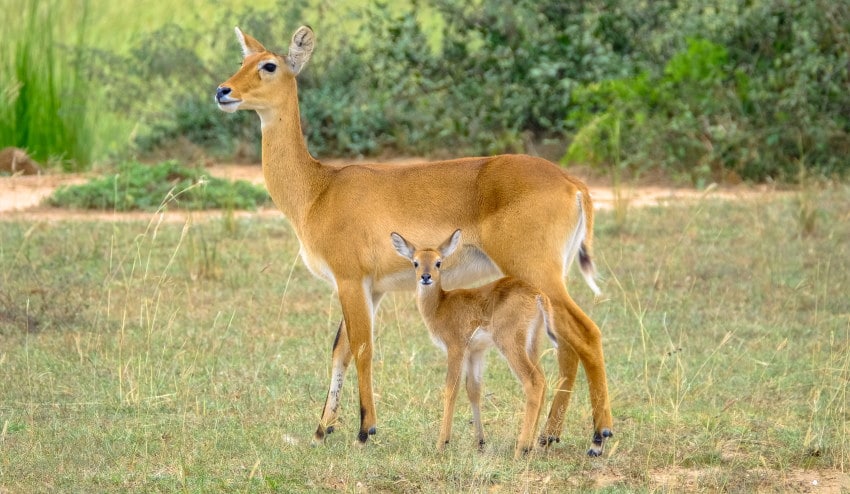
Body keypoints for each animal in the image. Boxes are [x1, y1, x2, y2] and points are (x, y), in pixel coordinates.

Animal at [391, 229, 555, 457]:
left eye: (438, 262)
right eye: (415, 262)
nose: (425, 277)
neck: (440, 306)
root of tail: (538, 294)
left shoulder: (455, 349)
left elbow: (451, 389)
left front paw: (441, 443)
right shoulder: (475, 352)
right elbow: (473, 389)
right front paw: (480, 442)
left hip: (510, 345)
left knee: (533, 382)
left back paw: (520, 449)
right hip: (531, 345)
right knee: (543, 380)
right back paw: (530, 446)